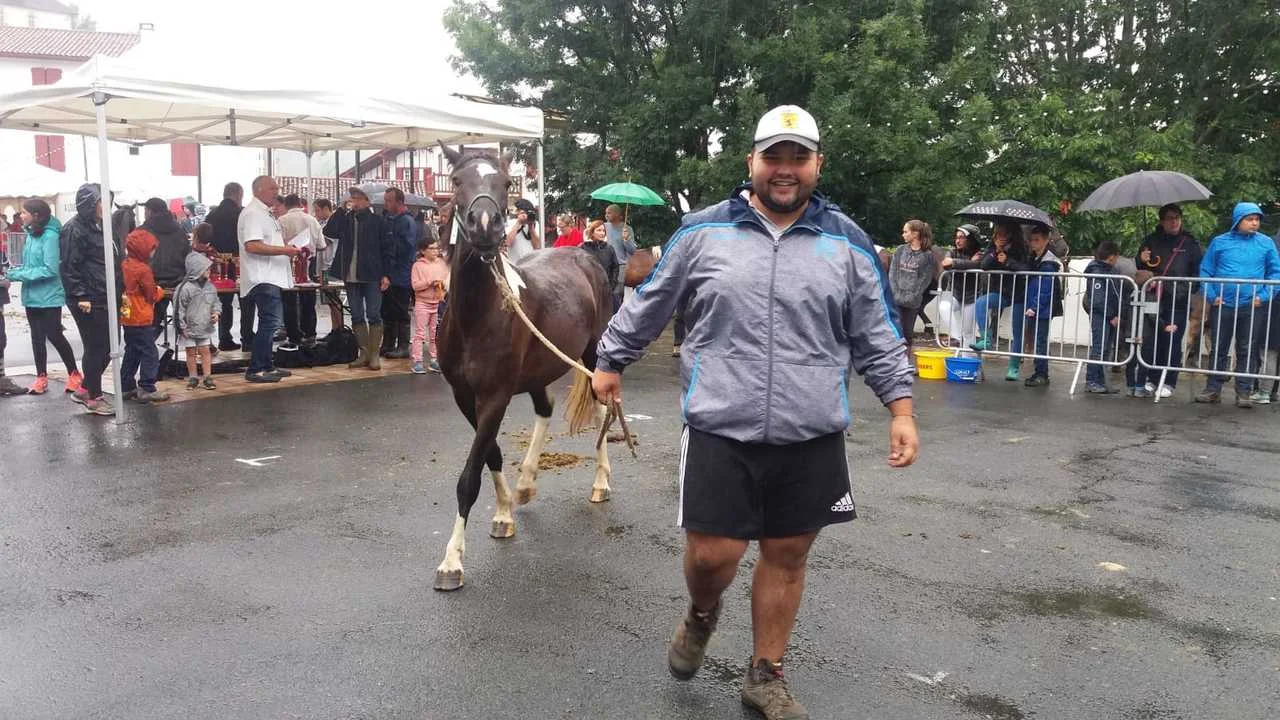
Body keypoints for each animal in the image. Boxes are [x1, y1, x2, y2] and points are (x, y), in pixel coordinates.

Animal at [433, 143, 616, 592]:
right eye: (457, 180)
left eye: (504, 182)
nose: (485, 226)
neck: (476, 316)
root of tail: (584, 254)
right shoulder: (465, 397)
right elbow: (492, 455)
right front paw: (503, 514)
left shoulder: (495, 396)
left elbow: (469, 477)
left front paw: (452, 562)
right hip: (539, 370)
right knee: (545, 409)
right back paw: (528, 483)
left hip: (592, 355)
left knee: (602, 409)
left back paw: (601, 483)